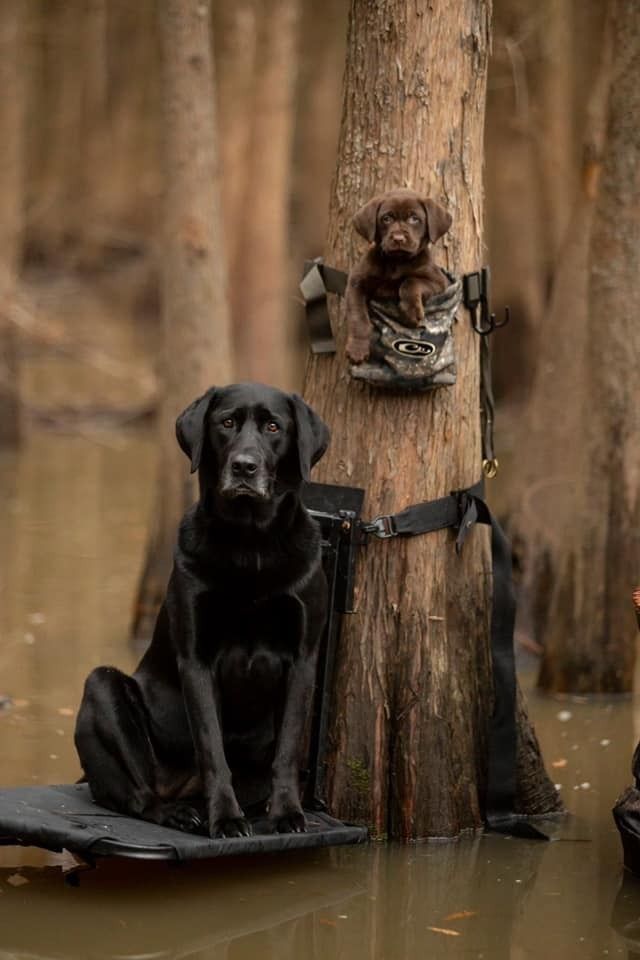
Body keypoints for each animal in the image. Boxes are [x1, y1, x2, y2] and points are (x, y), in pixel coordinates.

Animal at [76, 384, 330, 840]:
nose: (244, 467)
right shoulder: (196, 659)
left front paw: (286, 814)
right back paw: (178, 813)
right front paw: (226, 819)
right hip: (101, 687)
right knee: (139, 796)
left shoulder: (302, 659)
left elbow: (286, 751)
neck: (251, 543)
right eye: (226, 423)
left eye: (273, 427)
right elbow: (212, 748)